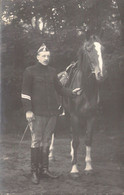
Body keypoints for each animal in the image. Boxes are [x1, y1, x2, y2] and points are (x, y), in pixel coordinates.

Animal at [49, 34, 106, 175]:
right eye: (89, 50)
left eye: (103, 49)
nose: (101, 74)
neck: (86, 90)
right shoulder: (75, 116)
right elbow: (75, 141)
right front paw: (74, 169)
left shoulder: (91, 117)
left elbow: (87, 140)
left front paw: (88, 167)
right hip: (58, 114)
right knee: (53, 132)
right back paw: (51, 155)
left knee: (70, 134)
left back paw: (71, 156)